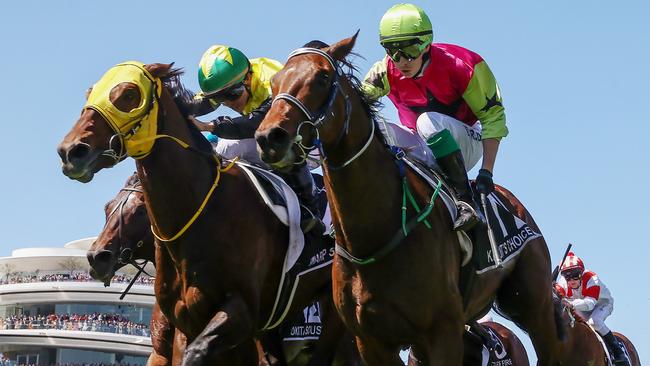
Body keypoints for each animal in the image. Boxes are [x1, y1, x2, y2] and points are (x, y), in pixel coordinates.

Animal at [58, 63, 336, 366]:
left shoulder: (241, 313)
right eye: (107, 207)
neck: (202, 211)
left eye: (130, 94)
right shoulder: (181, 329)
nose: (70, 151)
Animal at [253, 33, 560, 364]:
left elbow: (491, 112)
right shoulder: (371, 341)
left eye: (322, 77)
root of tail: (514, 203)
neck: (374, 235)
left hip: (535, 307)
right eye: (275, 82)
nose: (270, 137)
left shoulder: (443, 330)